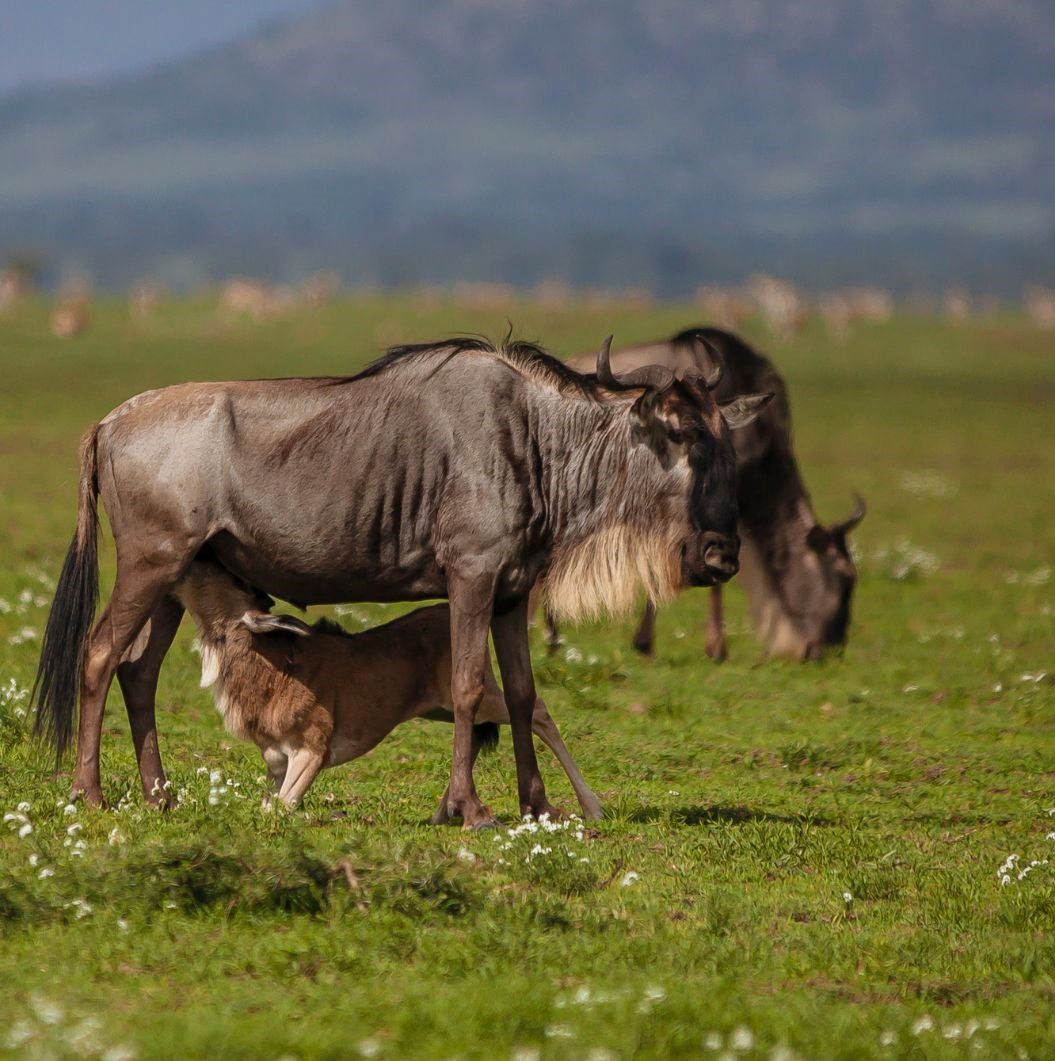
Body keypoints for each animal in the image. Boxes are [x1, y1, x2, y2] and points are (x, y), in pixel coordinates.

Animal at [32, 333, 771, 827]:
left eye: (725, 442)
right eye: (678, 435)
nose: (720, 557)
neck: (536, 446)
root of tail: (108, 421)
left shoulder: (511, 592)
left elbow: (524, 694)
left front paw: (538, 804)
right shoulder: (470, 577)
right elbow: (470, 686)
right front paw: (465, 806)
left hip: (178, 580)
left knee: (139, 671)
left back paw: (160, 796)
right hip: (149, 565)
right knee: (99, 655)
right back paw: (90, 795)